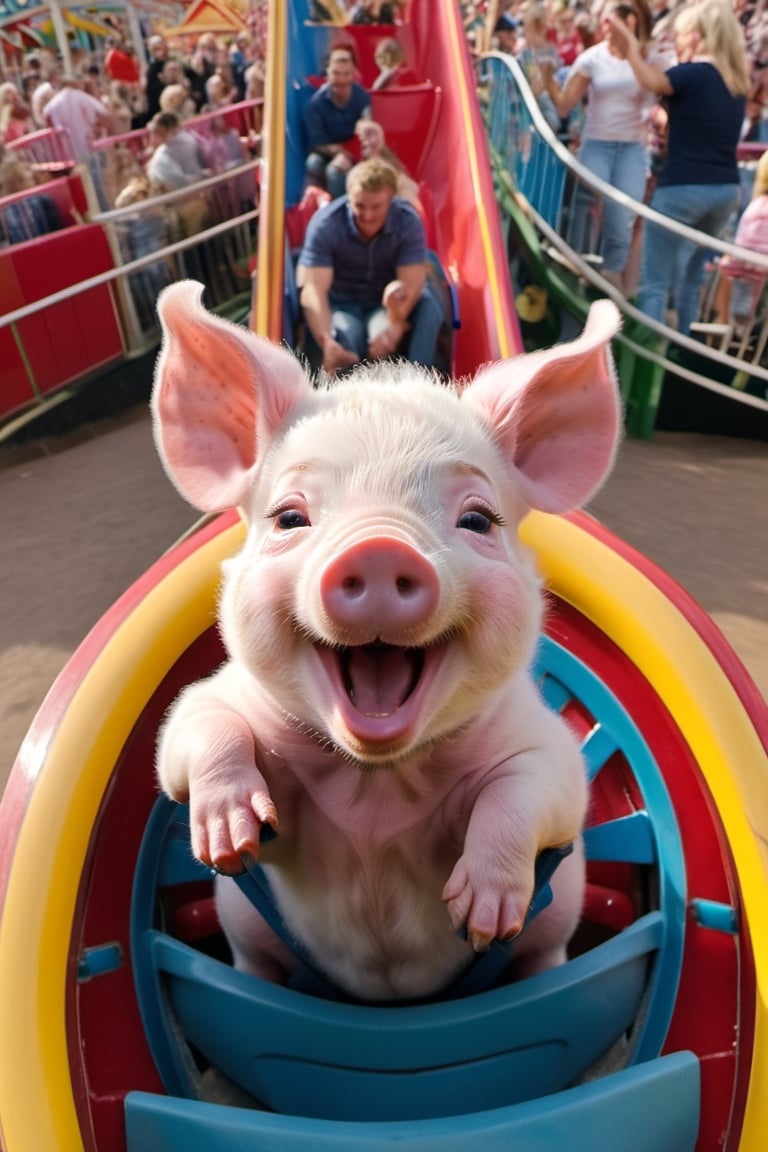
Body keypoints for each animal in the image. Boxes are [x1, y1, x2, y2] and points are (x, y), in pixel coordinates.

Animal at [152, 280, 622, 1003]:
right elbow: (198, 727)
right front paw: (231, 843)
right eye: (289, 516)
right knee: (254, 963)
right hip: (245, 932)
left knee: (544, 957)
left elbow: (529, 788)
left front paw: (481, 920)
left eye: (478, 520)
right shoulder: (210, 704)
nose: (378, 547)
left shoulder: (550, 752)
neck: (373, 792)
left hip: (556, 929)